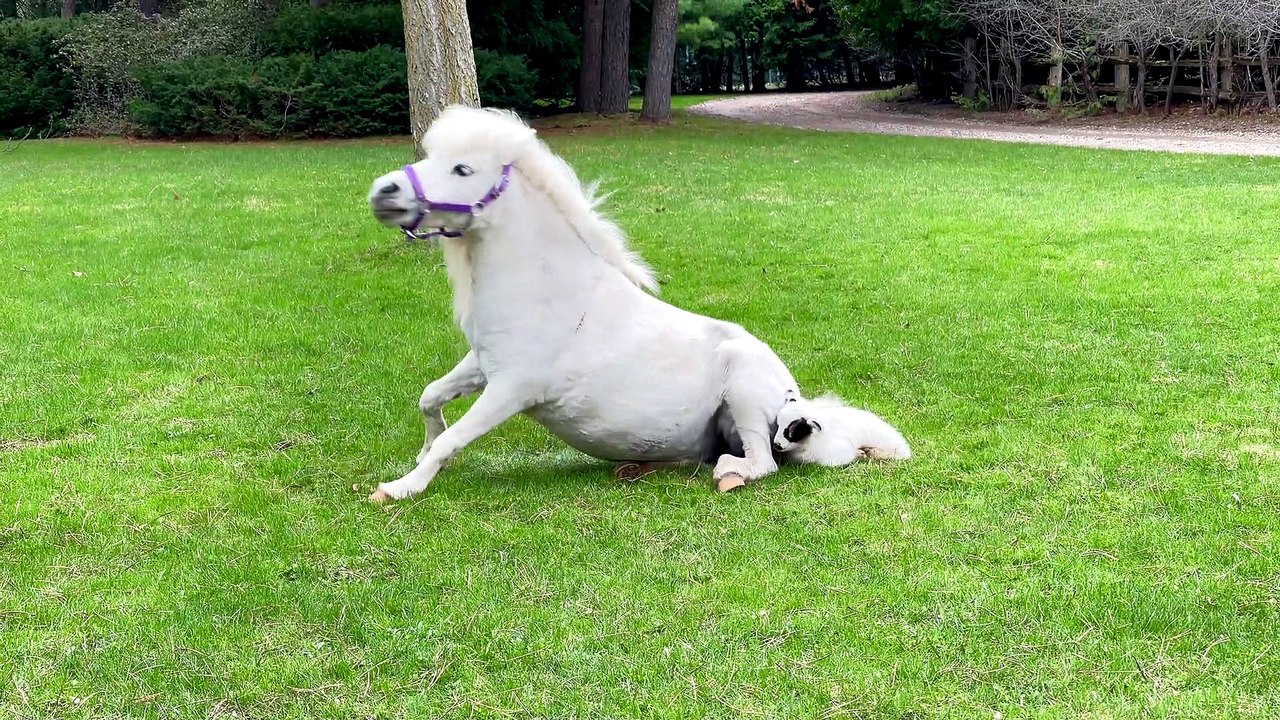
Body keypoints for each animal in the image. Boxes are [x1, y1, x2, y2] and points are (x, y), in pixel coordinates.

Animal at [364, 106, 809, 501]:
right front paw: (420, 457)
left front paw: (399, 488)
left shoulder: (512, 389)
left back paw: (730, 475)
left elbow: (453, 438)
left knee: (761, 462)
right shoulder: (482, 365)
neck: (549, 291)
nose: (384, 192)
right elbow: (430, 397)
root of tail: (792, 392)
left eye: (462, 169)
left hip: (744, 396)